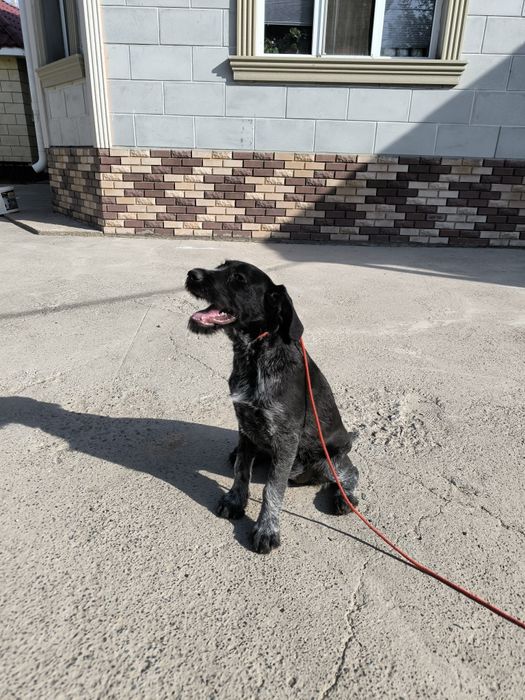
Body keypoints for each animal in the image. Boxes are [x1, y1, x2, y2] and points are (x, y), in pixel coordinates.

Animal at [186, 260, 359, 553]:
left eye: (238, 278)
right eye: (220, 266)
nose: (191, 274)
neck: (254, 354)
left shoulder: (286, 437)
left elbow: (272, 488)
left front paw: (266, 529)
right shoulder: (245, 424)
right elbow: (241, 469)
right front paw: (235, 500)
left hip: (329, 458)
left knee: (349, 474)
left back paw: (344, 498)